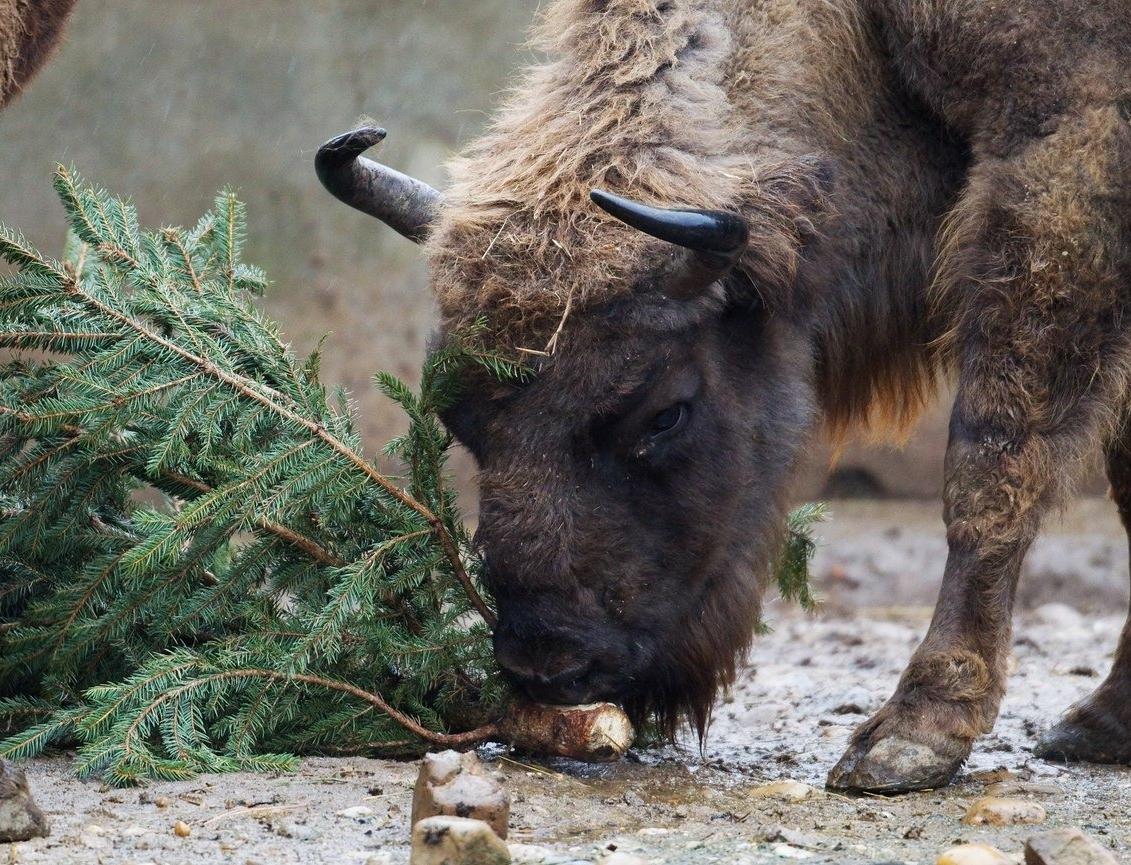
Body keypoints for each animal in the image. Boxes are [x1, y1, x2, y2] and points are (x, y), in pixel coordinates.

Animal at [318, 0, 1131, 791]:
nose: (548, 665)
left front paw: (909, 737)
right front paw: (1102, 723)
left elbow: (991, 465)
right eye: (458, 420)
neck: (863, 31)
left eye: (664, 413)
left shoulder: (1062, 142)